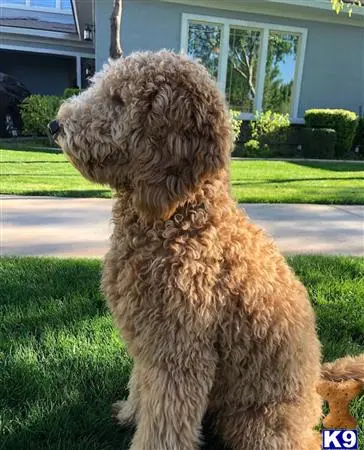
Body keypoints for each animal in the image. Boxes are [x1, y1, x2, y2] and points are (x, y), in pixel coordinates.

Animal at [52, 50, 364, 450]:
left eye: (119, 100)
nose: (54, 125)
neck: (181, 220)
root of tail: (316, 382)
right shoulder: (147, 344)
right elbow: (142, 388)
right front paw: (130, 414)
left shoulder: (179, 353)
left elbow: (164, 425)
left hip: (261, 425)